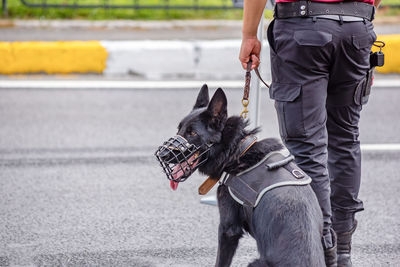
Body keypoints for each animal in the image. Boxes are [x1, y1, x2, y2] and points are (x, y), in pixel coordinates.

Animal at [155, 86, 324, 267]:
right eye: (179, 129)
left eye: (192, 133)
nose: (162, 155)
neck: (238, 150)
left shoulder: (228, 229)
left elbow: (221, 261)